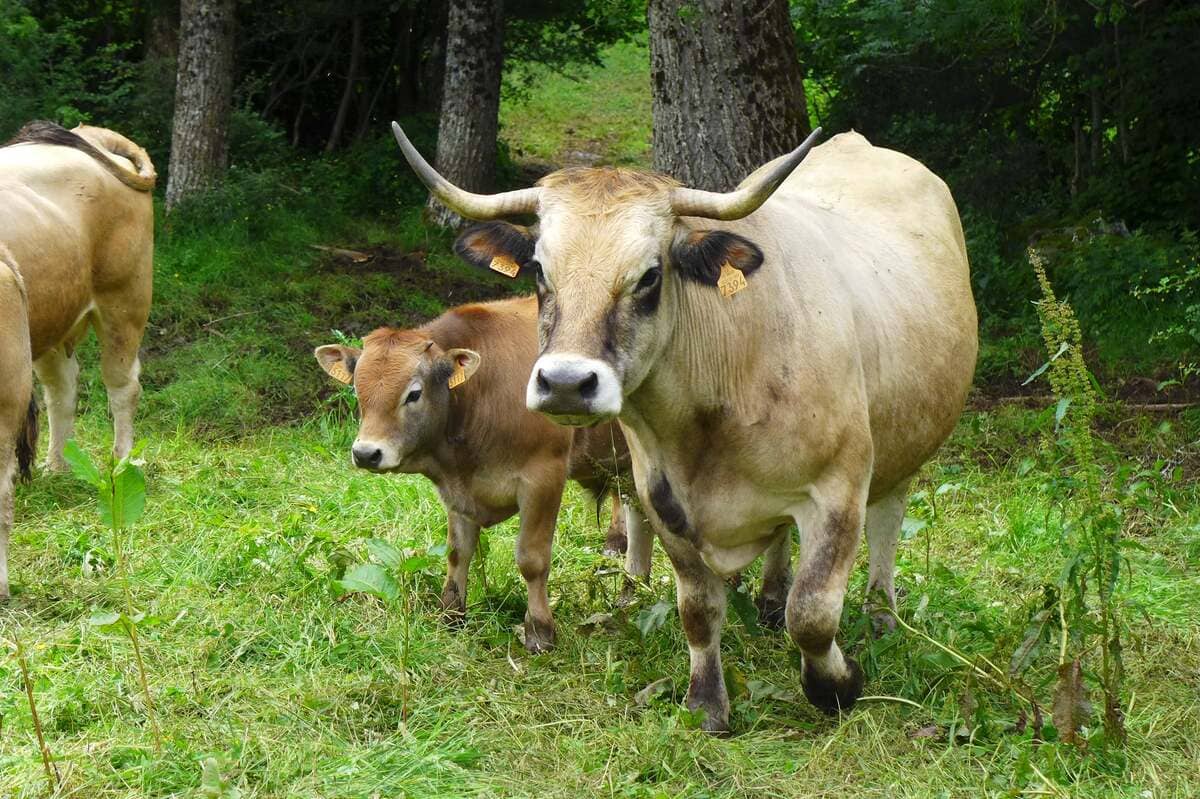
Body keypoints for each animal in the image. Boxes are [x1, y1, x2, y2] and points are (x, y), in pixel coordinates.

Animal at [0, 121, 156, 470]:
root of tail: (91, 135)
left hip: (125, 300)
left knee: (123, 385)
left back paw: (122, 461)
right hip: (51, 315)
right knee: (63, 387)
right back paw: (58, 465)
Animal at [314, 295, 652, 653]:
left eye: (414, 393)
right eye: (357, 390)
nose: (366, 453)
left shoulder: (544, 477)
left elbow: (532, 560)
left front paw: (539, 631)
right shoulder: (457, 491)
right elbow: (457, 552)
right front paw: (451, 615)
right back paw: (631, 596)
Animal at [390, 121, 978, 731]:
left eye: (650, 275)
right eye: (538, 270)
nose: (567, 383)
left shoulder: (838, 490)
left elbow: (813, 613)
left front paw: (836, 685)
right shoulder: (661, 493)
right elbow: (698, 607)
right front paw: (706, 702)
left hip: (906, 446)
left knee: (888, 522)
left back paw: (880, 614)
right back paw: (769, 598)